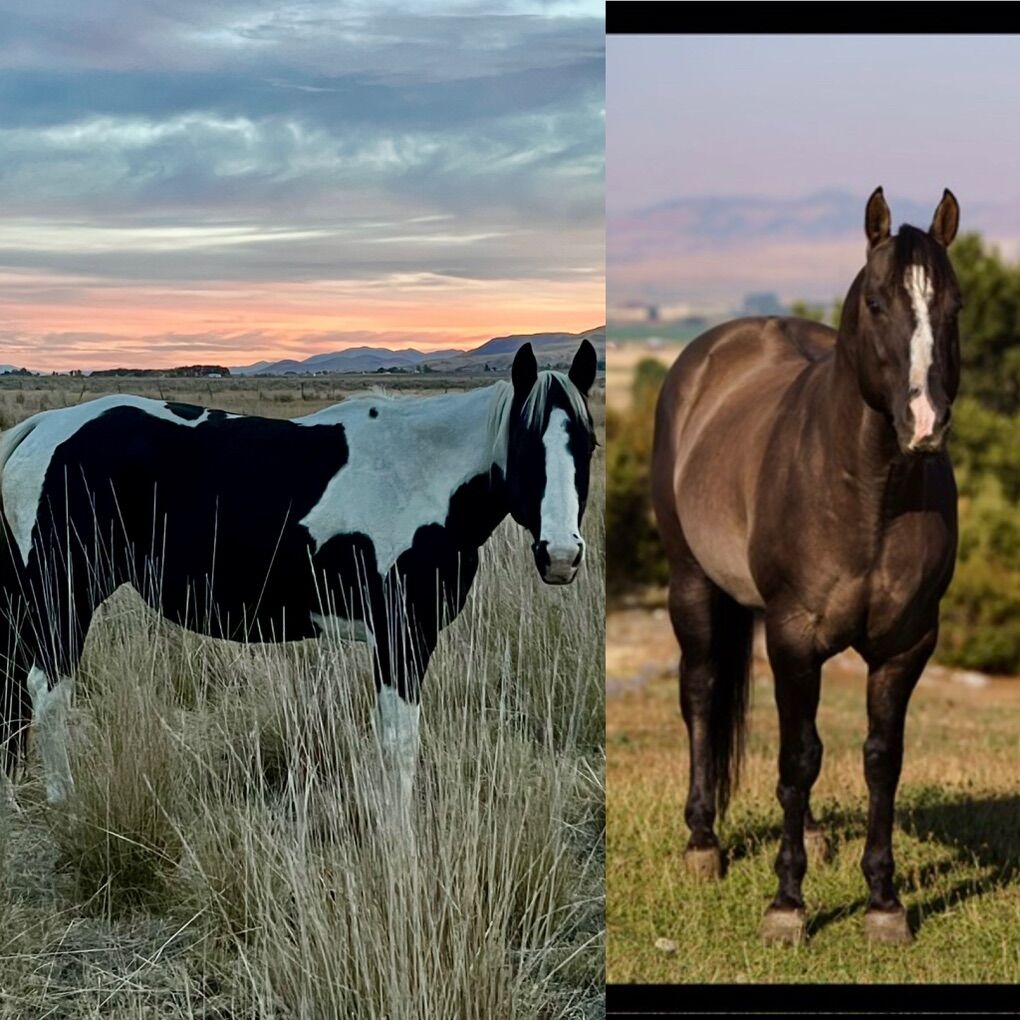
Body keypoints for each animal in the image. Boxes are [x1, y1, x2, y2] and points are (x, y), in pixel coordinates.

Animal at [0, 340, 598, 819]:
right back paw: (66, 802)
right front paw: (399, 840)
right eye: (525, 446)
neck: (422, 474)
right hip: (64, 596)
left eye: (587, 446)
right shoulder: (400, 636)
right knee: (48, 694)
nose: (560, 555)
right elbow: (399, 744)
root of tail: (43, 429)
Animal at [650, 189, 961, 945]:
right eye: (876, 302)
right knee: (701, 694)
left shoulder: (906, 645)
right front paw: (787, 904)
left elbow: (878, 759)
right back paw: (703, 842)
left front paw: (883, 902)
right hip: (693, 585)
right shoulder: (795, 634)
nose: (925, 422)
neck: (870, 495)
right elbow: (797, 757)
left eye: (955, 305)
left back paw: (816, 836)